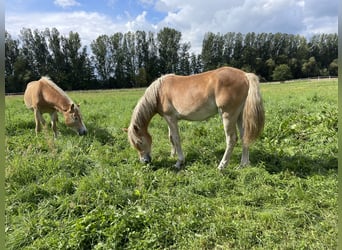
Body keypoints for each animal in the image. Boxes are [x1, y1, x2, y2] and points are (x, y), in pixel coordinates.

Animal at [127, 66, 264, 170]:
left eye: (139, 142)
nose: (145, 161)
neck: (159, 92)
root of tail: (245, 75)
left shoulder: (171, 118)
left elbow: (176, 138)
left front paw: (179, 162)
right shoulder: (169, 119)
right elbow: (171, 137)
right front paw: (172, 155)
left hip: (228, 115)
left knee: (231, 139)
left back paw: (222, 165)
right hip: (239, 116)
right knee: (244, 136)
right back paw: (243, 164)